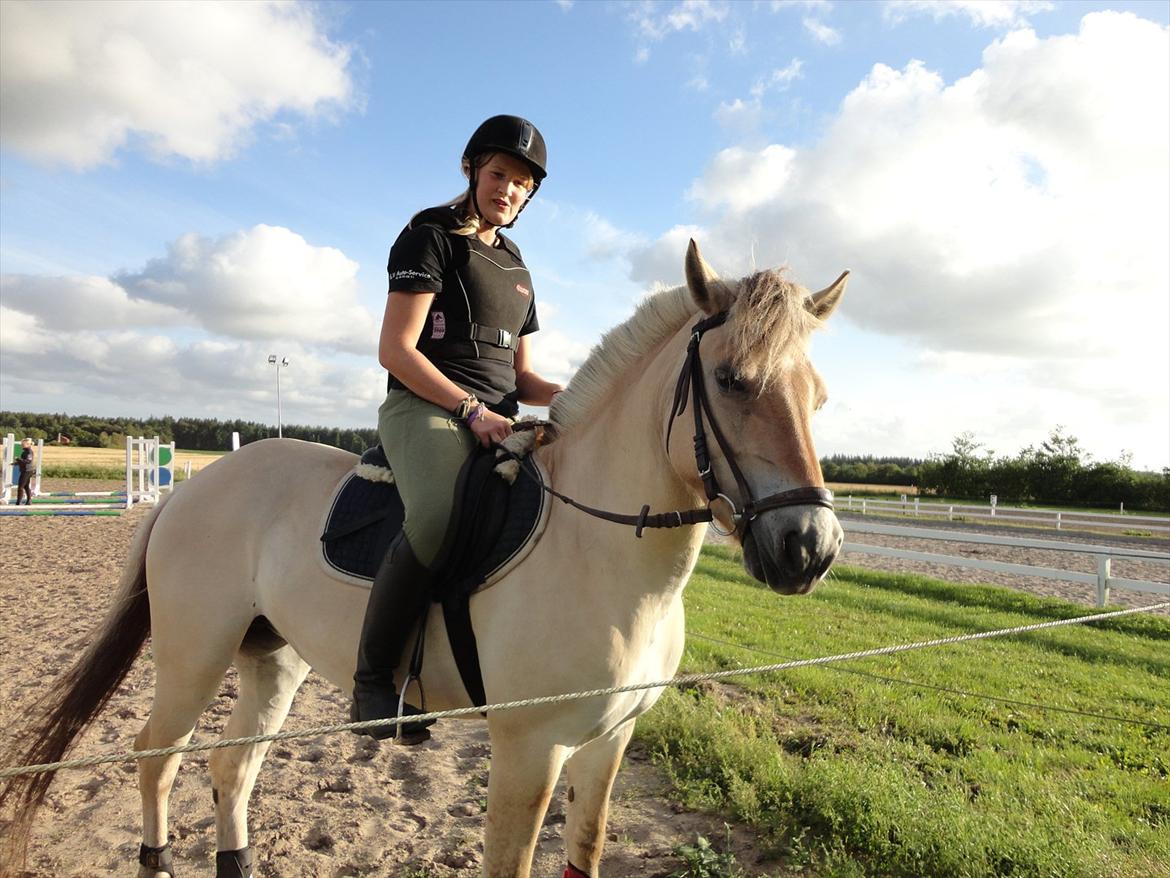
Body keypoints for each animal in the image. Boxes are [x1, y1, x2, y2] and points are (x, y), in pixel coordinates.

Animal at [4, 241, 856, 878]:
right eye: (731, 381)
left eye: (819, 398)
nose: (808, 549)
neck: (602, 554)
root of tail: (192, 487)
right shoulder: (529, 751)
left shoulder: (608, 744)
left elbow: (585, 853)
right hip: (194, 653)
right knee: (159, 756)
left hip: (269, 657)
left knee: (230, 768)